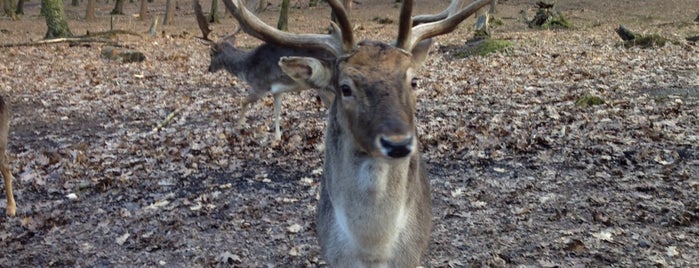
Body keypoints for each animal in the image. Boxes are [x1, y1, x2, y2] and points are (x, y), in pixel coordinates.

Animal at [191, 0, 334, 141]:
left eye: (210, 54)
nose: (209, 69)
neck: (247, 68)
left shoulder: (260, 85)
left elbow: (243, 101)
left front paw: (239, 126)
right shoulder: (278, 90)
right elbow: (277, 112)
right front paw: (277, 138)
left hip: (324, 87)